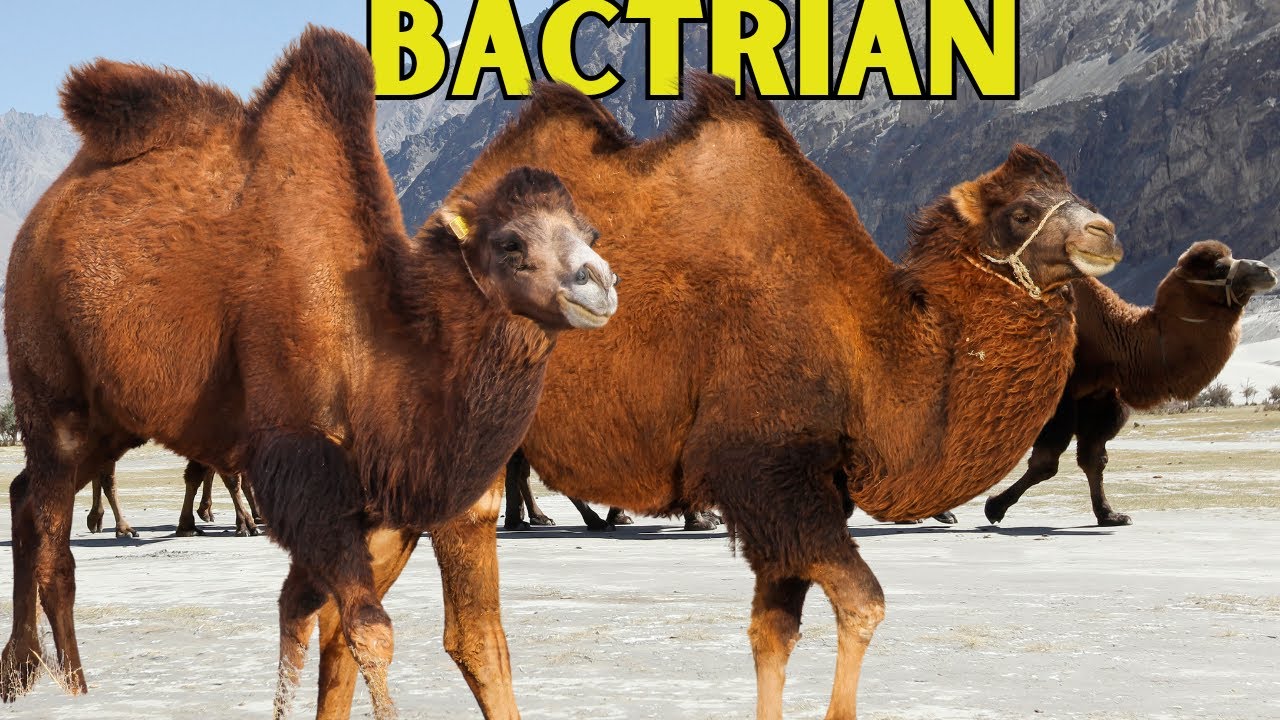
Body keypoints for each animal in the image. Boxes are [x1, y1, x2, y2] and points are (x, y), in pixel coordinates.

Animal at [85, 459, 262, 538]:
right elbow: (231, 478)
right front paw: (246, 526)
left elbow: (195, 474)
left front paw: (187, 526)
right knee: (106, 476)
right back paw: (123, 529)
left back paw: (96, 520)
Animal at [303, 74, 1123, 719]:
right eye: (1022, 211)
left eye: (1071, 192)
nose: (1106, 233)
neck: (871, 343)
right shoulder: (769, 471)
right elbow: (863, 605)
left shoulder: (796, 493)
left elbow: (772, 632)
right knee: (469, 631)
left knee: (344, 613)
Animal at [984, 241, 1277, 526]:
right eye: (1219, 267)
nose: (1267, 271)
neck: (1114, 341)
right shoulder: (1059, 395)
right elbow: (1046, 462)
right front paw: (994, 507)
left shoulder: (1098, 396)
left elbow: (1094, 459)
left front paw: (1109, 514)